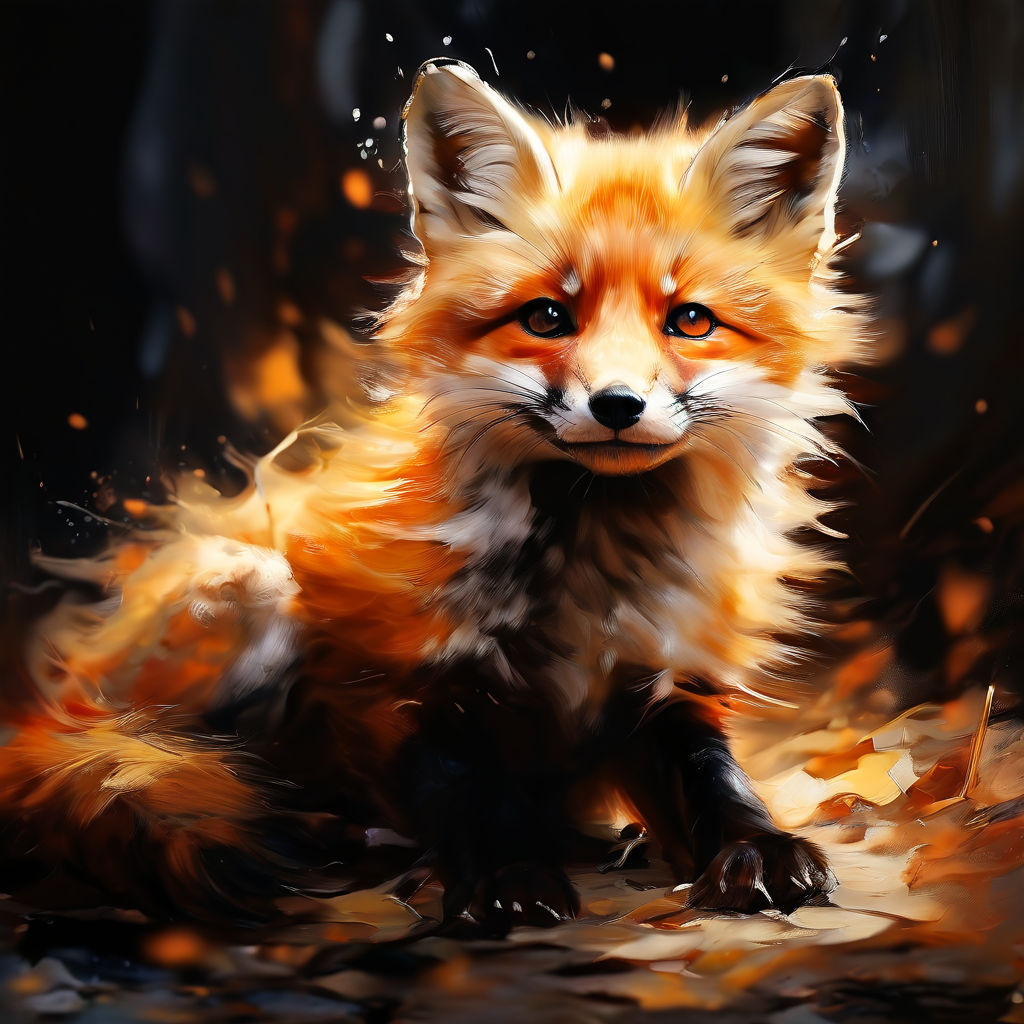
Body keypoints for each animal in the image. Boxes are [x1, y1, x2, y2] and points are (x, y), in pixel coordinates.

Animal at [1, 60, 868, 931]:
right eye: (547, 317)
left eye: (689, 320)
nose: (617, 405)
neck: (590, 571)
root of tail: (52, 704)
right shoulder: (393, 681)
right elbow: (465, 792)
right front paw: (506, 875)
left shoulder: (666, 679)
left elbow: (716, 778)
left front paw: (760, 846)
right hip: (245, 588)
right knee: (171, 757)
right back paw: (316, 827)